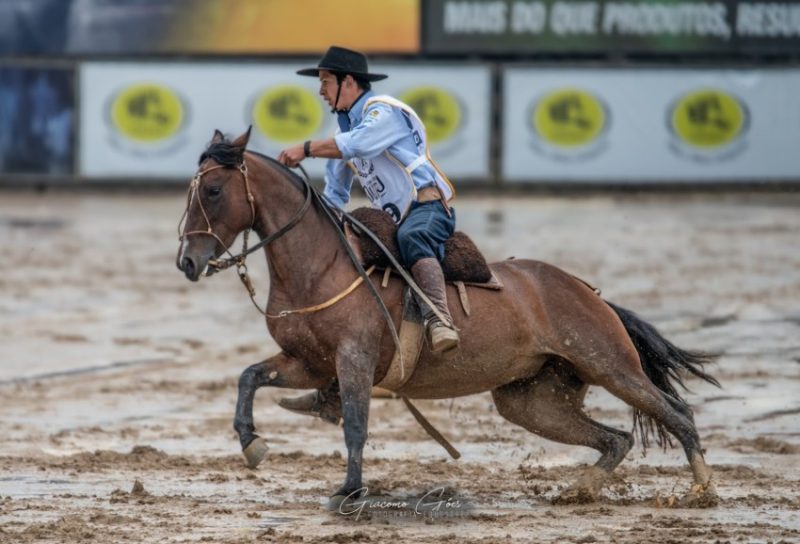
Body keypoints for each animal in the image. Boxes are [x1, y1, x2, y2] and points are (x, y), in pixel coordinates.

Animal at [178, 131, 720, 510]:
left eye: (213, 189)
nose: (187, 261)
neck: (324, 266)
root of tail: (589, 293)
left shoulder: (354, 359)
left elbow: (355, 424)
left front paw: (349, 491)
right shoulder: (309, 363)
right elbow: (249, 377)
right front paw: (252, 443)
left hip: (610, 364)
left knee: (677, 414)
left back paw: (702, 491)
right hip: (532, 400)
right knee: (617, 438)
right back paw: (578, 489)